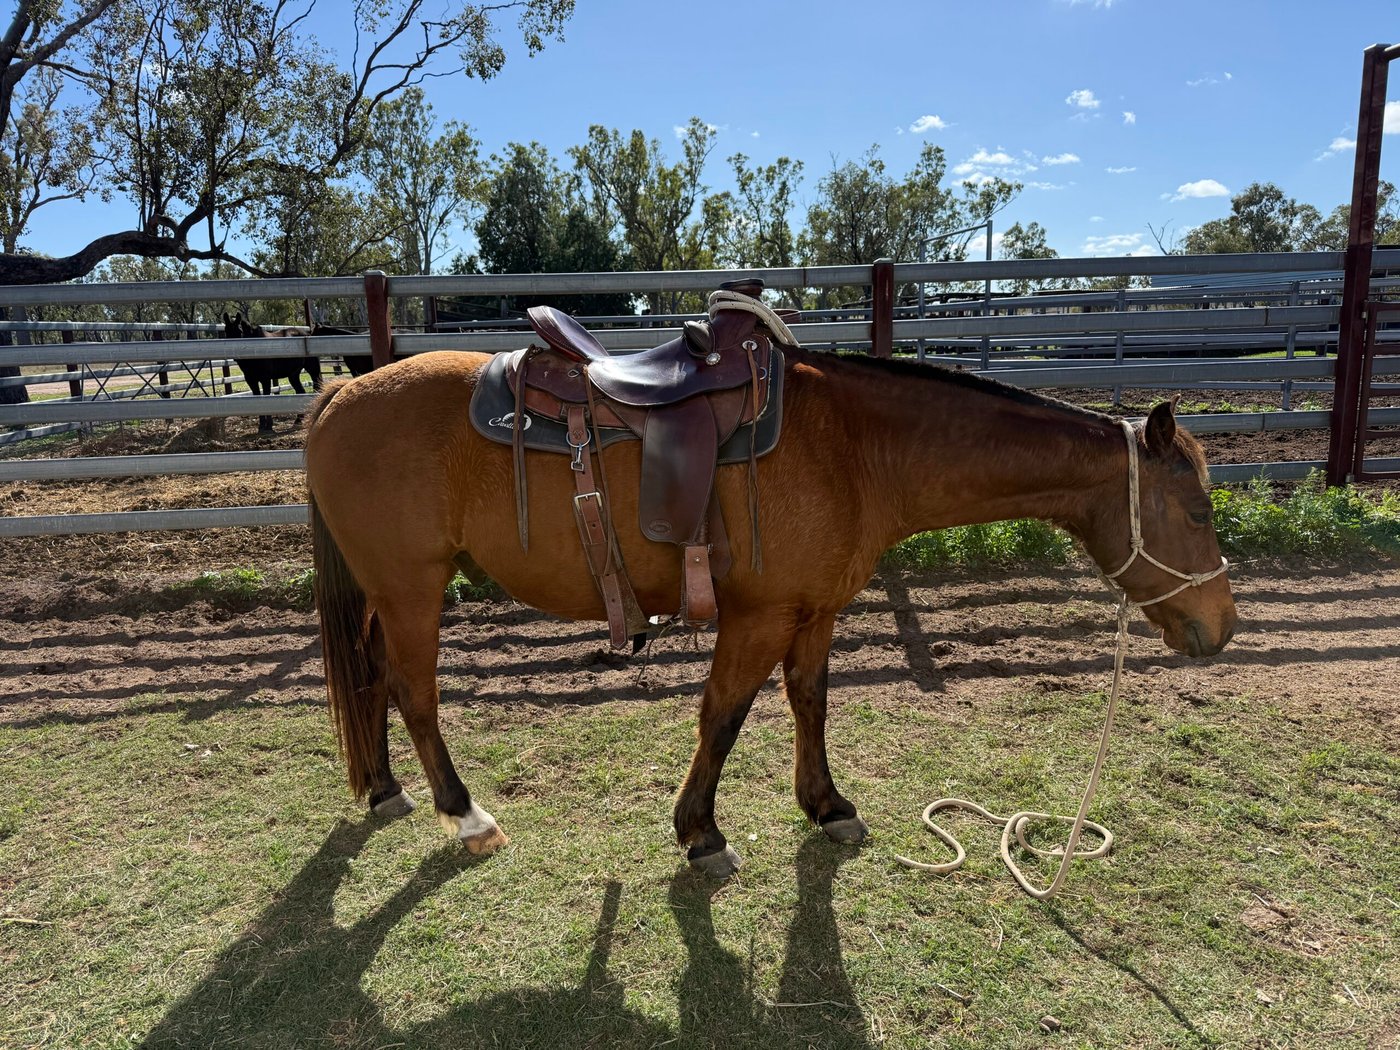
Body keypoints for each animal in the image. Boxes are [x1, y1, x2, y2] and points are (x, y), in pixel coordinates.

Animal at [303, 329, 1237, 879]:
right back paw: (466, 816)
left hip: (394, 593)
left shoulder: (814, 612)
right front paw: (701, 833)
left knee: (376, 676)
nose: (1220, 628)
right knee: (415, 691)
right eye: (1197, 510)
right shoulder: (756, 617)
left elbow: (809, 702)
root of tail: (341, 393)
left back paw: (384, 788)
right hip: (414, 587)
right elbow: (722, 715)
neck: (857, 447)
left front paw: (828, 806)